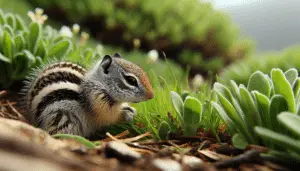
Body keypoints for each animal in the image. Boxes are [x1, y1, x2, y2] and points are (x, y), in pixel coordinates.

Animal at [21, 52, 154, 137]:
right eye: (131, 80)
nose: (151, 96)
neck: (99, 83)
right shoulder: (98, 101)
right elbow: (108, 117)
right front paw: (126, 114)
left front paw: (130, 109)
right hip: (64, 118)